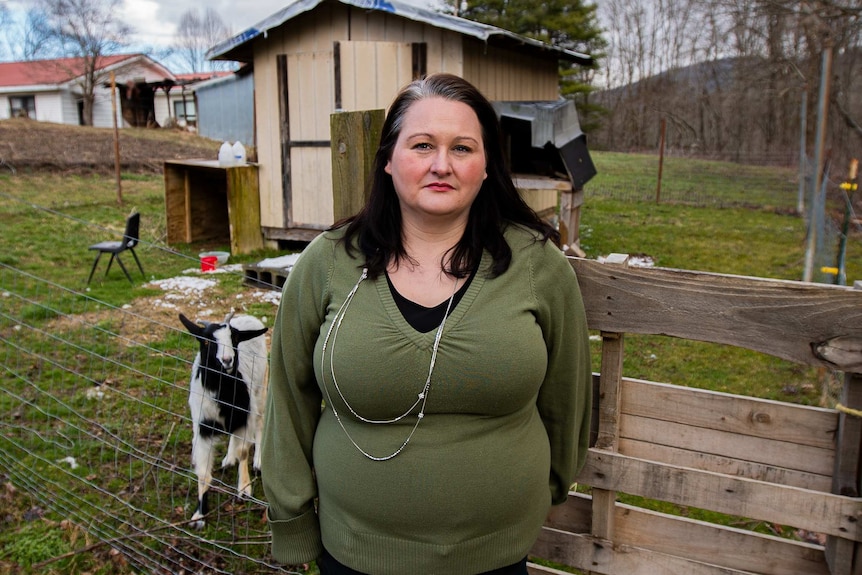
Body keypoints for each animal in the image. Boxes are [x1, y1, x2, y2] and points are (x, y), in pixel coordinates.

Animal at [178, 312, 266, 528]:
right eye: (207, 341)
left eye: (234, 339)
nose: (227, 360)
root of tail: (248, 317)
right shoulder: (202, 427)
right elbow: (203, 473)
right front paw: (199, 515)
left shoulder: (245, 416)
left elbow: (244, 451)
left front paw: (244, 489)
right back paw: (228, 459)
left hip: (260, 391)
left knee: (260, 423)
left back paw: (258, 461)